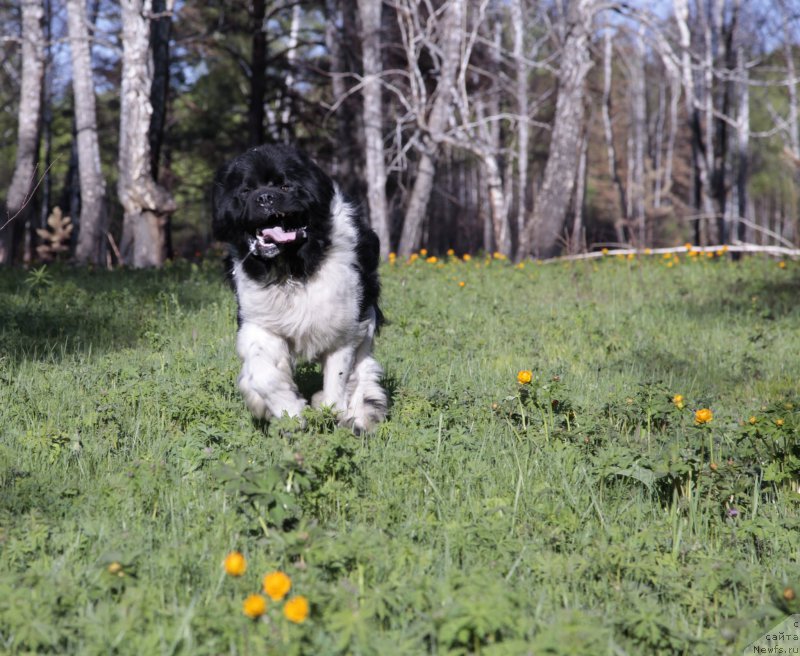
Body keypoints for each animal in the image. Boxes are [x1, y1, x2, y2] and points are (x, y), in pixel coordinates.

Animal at [212, 143, 388, 430]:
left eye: (286, 186)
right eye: (246, 191)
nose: (265, 197)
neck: (292, 269)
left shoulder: (345, 328)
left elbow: (338, 381)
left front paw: (330, 410)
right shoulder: (259, 321)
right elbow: (262, 374)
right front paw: (289, 410)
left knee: (363, 367)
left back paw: (364, 414)